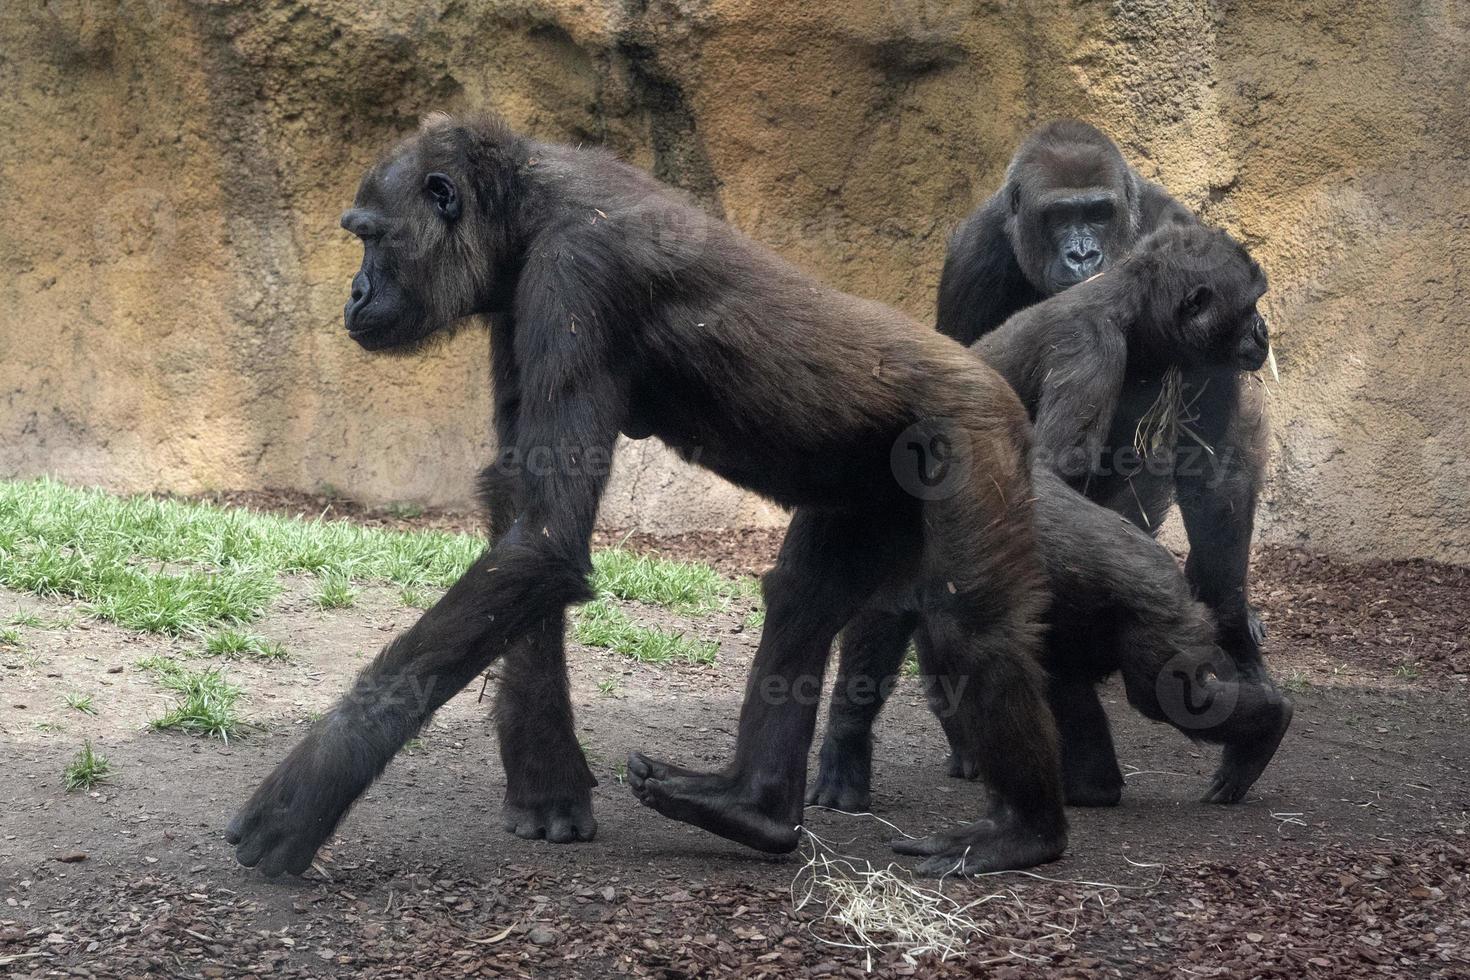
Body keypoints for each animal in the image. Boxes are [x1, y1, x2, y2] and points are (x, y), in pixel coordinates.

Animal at [220, 115, 1070, 881]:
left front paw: (315, 781)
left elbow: (544, 536)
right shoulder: (517, 302)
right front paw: (545, 779)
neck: (527, 204)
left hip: (972, 428)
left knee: (972, 629)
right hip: (873, 487)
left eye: (372, 237)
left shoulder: (576, 271)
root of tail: (990, 375)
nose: (354, 292)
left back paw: (1025, 832)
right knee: (803, 599)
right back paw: (752, 806)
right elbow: (523, 517)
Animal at [811, 224, 1293, 811]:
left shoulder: (1203, 365)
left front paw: (1237, 633)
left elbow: (1217, 479)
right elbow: (1050, 468)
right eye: (1249, 305)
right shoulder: (1088, 348)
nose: (1263, 329)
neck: (1139, 320)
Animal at [940, 119, 1264, 669]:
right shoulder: (975, 258)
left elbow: (1215, 462)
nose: (1082, 255)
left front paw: (1233, 623)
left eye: (1097, 213)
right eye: (1059, 217)